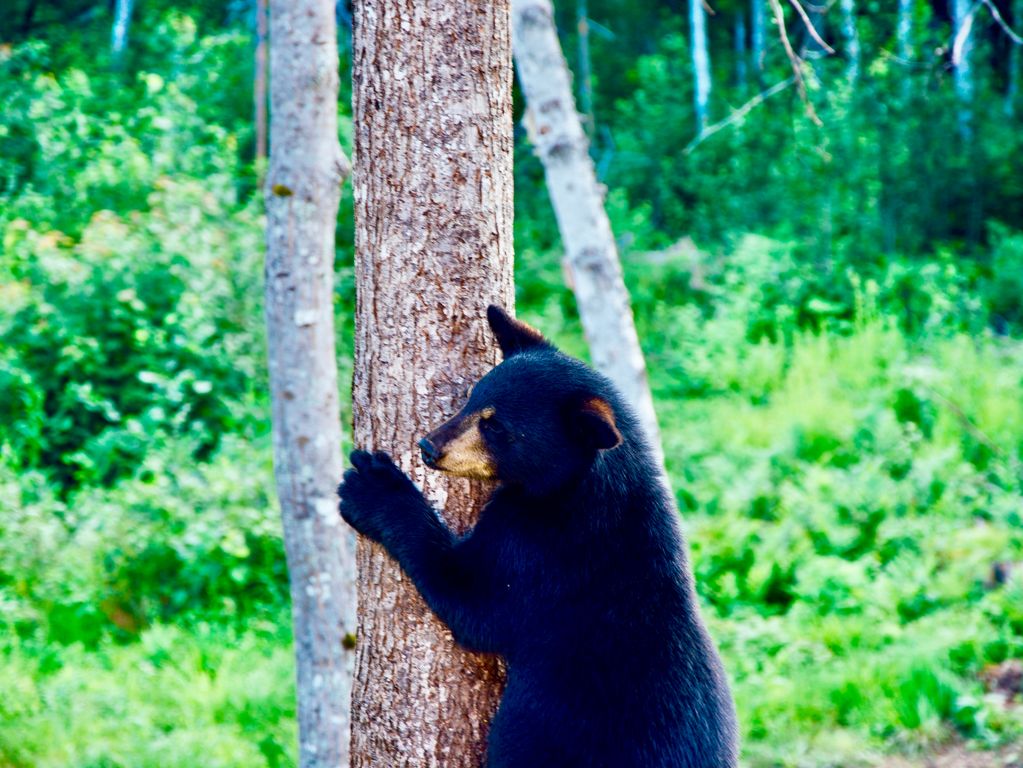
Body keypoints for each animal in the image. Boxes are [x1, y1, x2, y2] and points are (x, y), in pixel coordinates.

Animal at [339, 306, 740, 768]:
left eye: (496, 427)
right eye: (472, 399)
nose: (428, 446)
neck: (576, 486)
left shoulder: (545, 552)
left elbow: (474, 598)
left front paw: (372, 487)